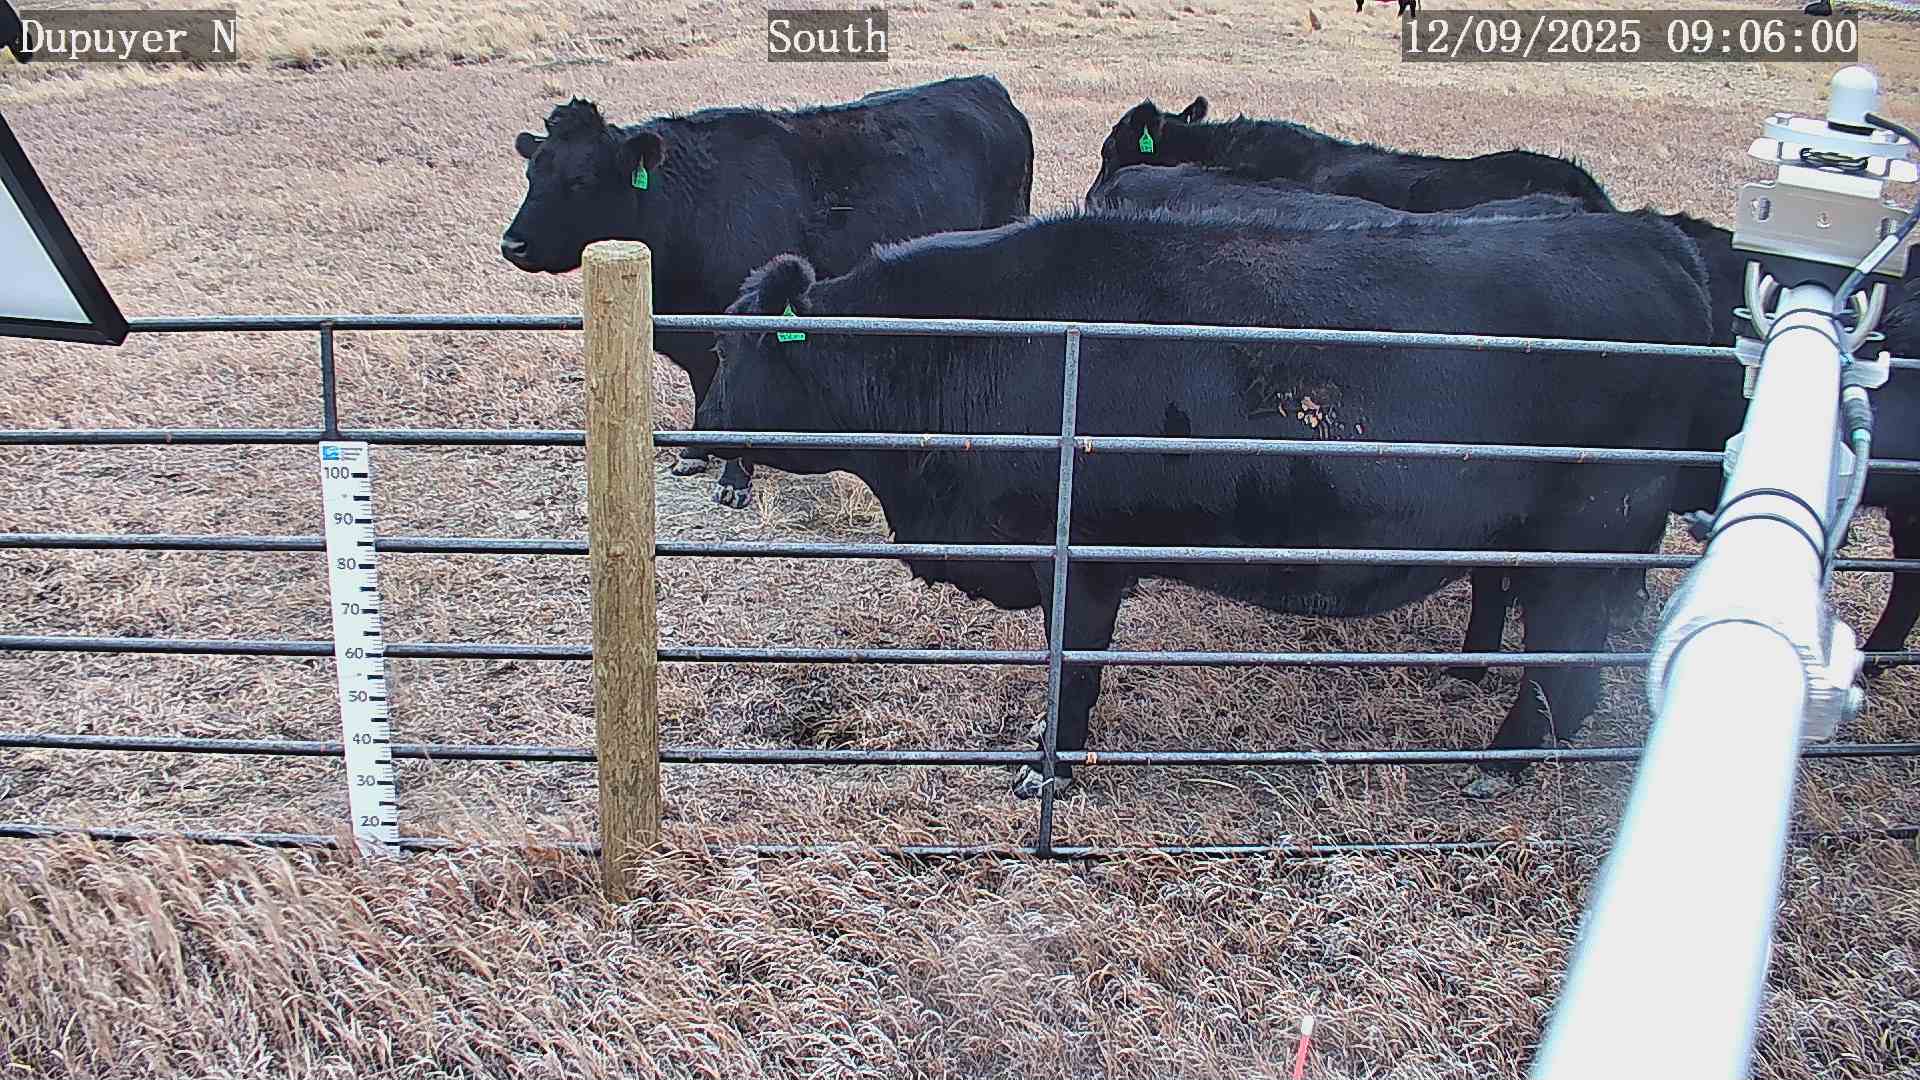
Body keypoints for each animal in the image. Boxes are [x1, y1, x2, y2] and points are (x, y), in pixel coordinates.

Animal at [500, 75, 1035, 506]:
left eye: (581, 179)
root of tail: (985, 85)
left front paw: (734, 480)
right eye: (531, 173)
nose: (512, 243)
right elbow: (707, 387)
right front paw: (694, 452)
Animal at [698, 208, 1716, 800]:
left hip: (1586, 541)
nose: (700, 433)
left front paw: (1046, 771)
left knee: (1567, 667)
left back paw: (1497, 770)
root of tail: (1647, 239)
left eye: (733, 352)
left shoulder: (1078, 555)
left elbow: (1074, 668)